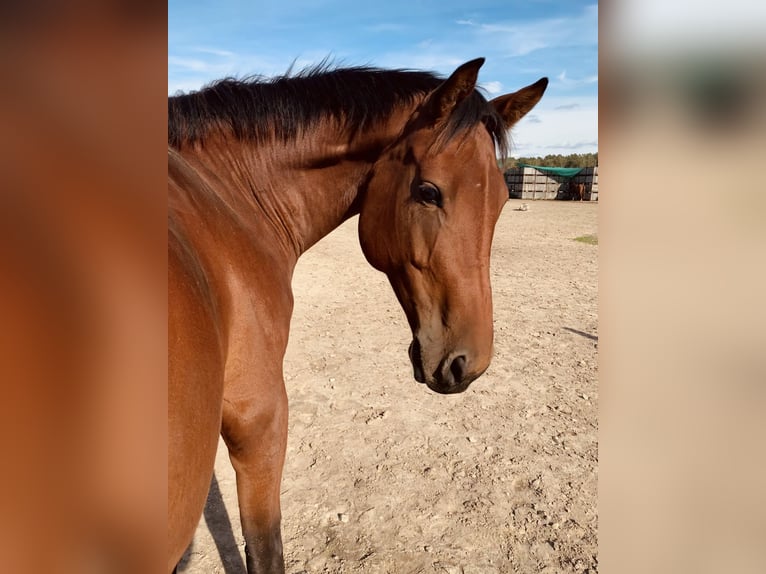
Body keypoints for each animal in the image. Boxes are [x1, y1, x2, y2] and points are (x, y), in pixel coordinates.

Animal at [171, 60, 548, 572]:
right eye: (428, 191)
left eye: (503, 200)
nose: (468, 364)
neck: (228, 198)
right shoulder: (259, 414)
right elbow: (265, 549)